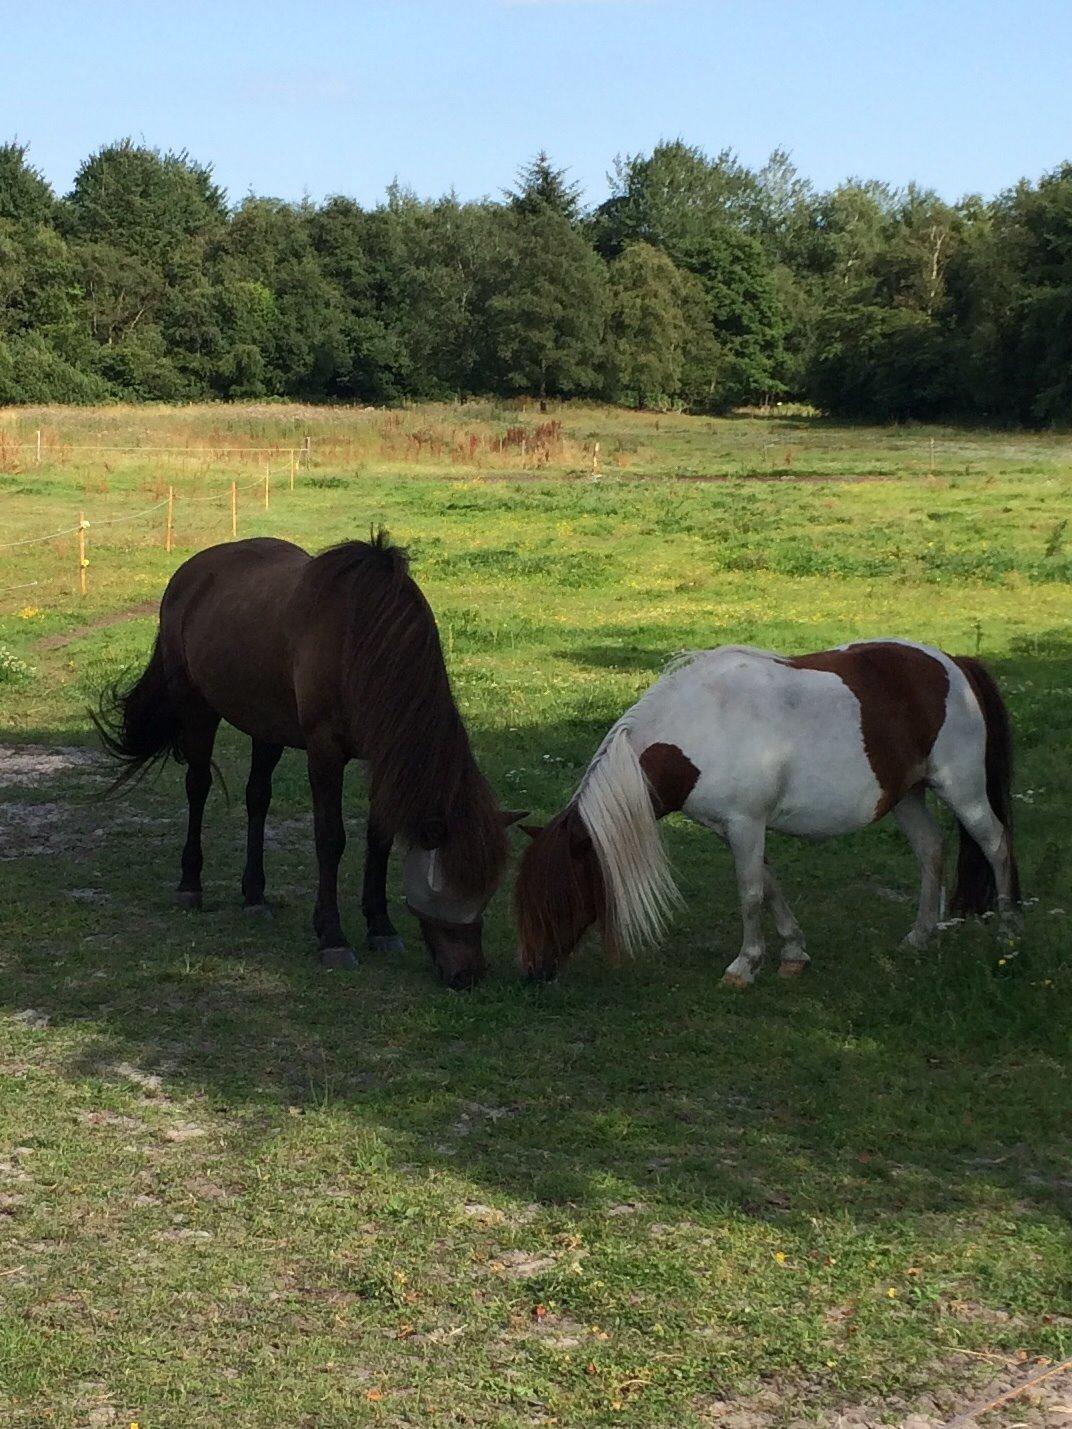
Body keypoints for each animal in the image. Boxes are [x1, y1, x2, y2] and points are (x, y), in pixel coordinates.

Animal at [96, 531, 525, 988]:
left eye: (487, 891)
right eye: (444, 888)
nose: (468, 974)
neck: (363, 639)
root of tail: (189, 573)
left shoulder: (379, 757)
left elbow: (380, 836)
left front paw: (381, 927)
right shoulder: (324, 752)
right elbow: (330, 838)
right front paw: (332, 937)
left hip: (265, 725)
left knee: (257, 798)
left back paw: (254, 896)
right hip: (197, 707)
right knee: (198, 787)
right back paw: (190, 884)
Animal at [517, 643, 1017, 988]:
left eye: (560, 893)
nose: (533, 972)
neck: (703, 728)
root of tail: (954, 663)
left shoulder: (745, 824)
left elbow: (751, 893)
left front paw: (744, 966)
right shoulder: (732, 830)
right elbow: (770, 885)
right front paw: (793, 954)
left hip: (962, 790)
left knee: (995, 844)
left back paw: (1010, 935)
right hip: (907, 796)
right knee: (931, 850)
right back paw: (920, 936)